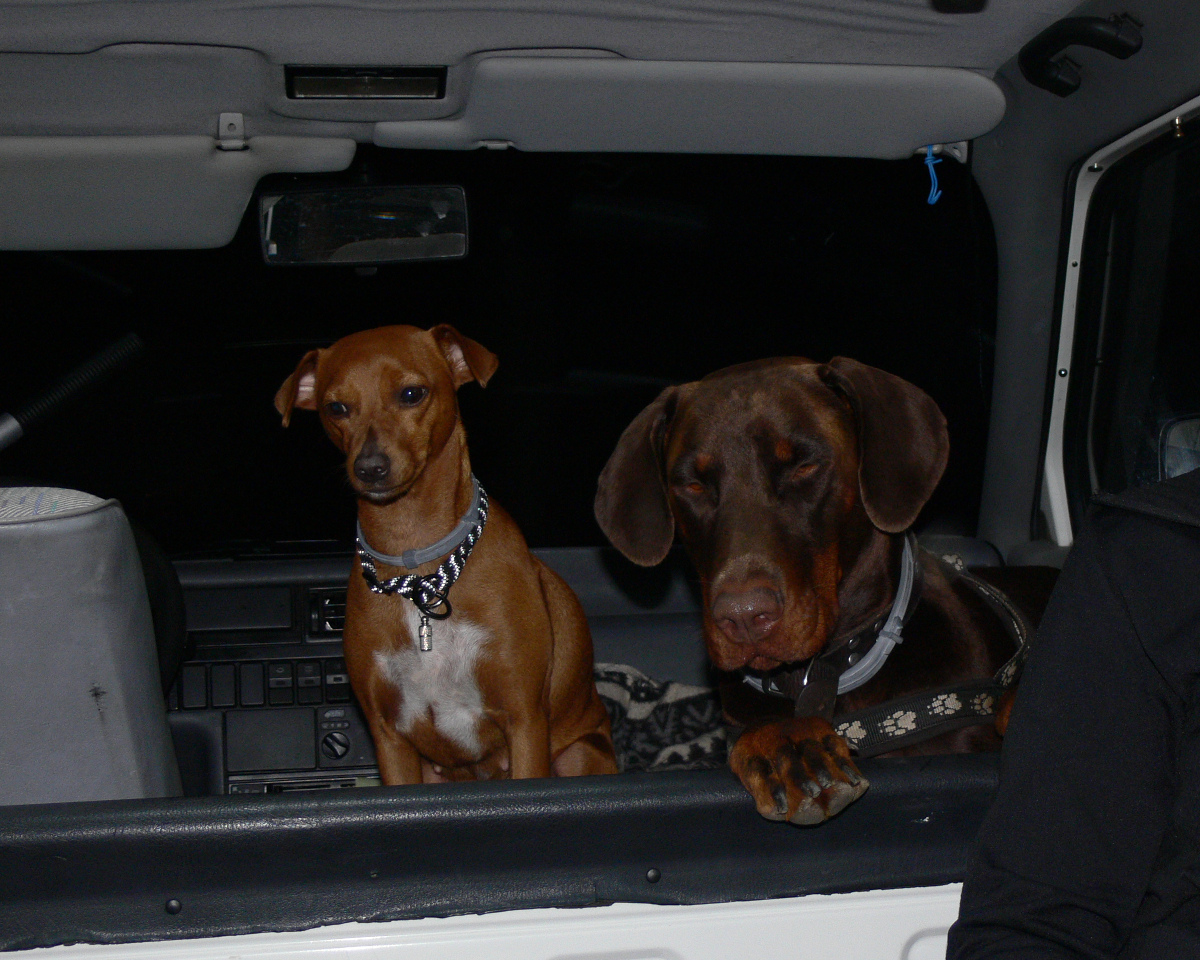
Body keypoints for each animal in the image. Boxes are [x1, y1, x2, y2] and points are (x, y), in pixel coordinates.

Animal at [277, 326, 619, 782]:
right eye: (336, 407)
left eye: (411, 393)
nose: (370, 468)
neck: (419, 566)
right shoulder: (391, 741)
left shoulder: (525, 721)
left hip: (577, 754)